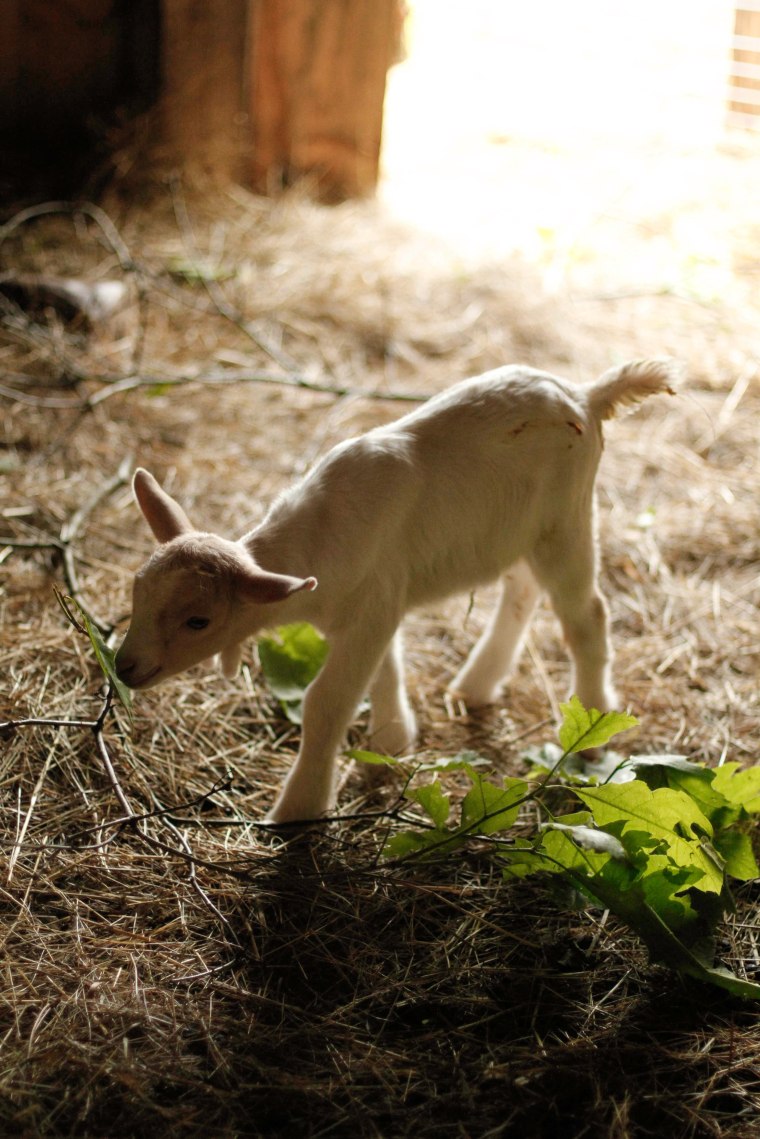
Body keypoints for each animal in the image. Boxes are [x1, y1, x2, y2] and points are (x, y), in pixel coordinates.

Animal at [115, 359, 678, 822]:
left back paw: (593, 719)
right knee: (521, 590)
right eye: (137, 592)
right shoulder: (377, 602)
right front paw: (393, 738)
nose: (124, 667)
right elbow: (385, 669)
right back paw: (478, 683)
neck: (316, 539)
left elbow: (328, 703)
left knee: (586, 614)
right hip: (518, 531)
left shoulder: (372, 608)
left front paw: (299, 807)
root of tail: (588, 393)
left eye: (198, 620)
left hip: (566, 520)